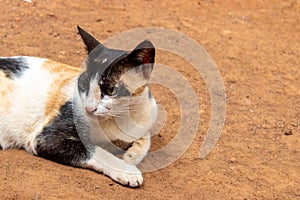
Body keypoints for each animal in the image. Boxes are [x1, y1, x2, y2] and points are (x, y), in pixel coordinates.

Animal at [0, 25, 158, 188]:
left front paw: (130, 155)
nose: (88, 109)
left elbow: (146, 138)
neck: (119, 119)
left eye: (110, 90)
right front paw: (127, 170)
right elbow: (96, 150)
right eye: (83, 85)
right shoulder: (45, 138)